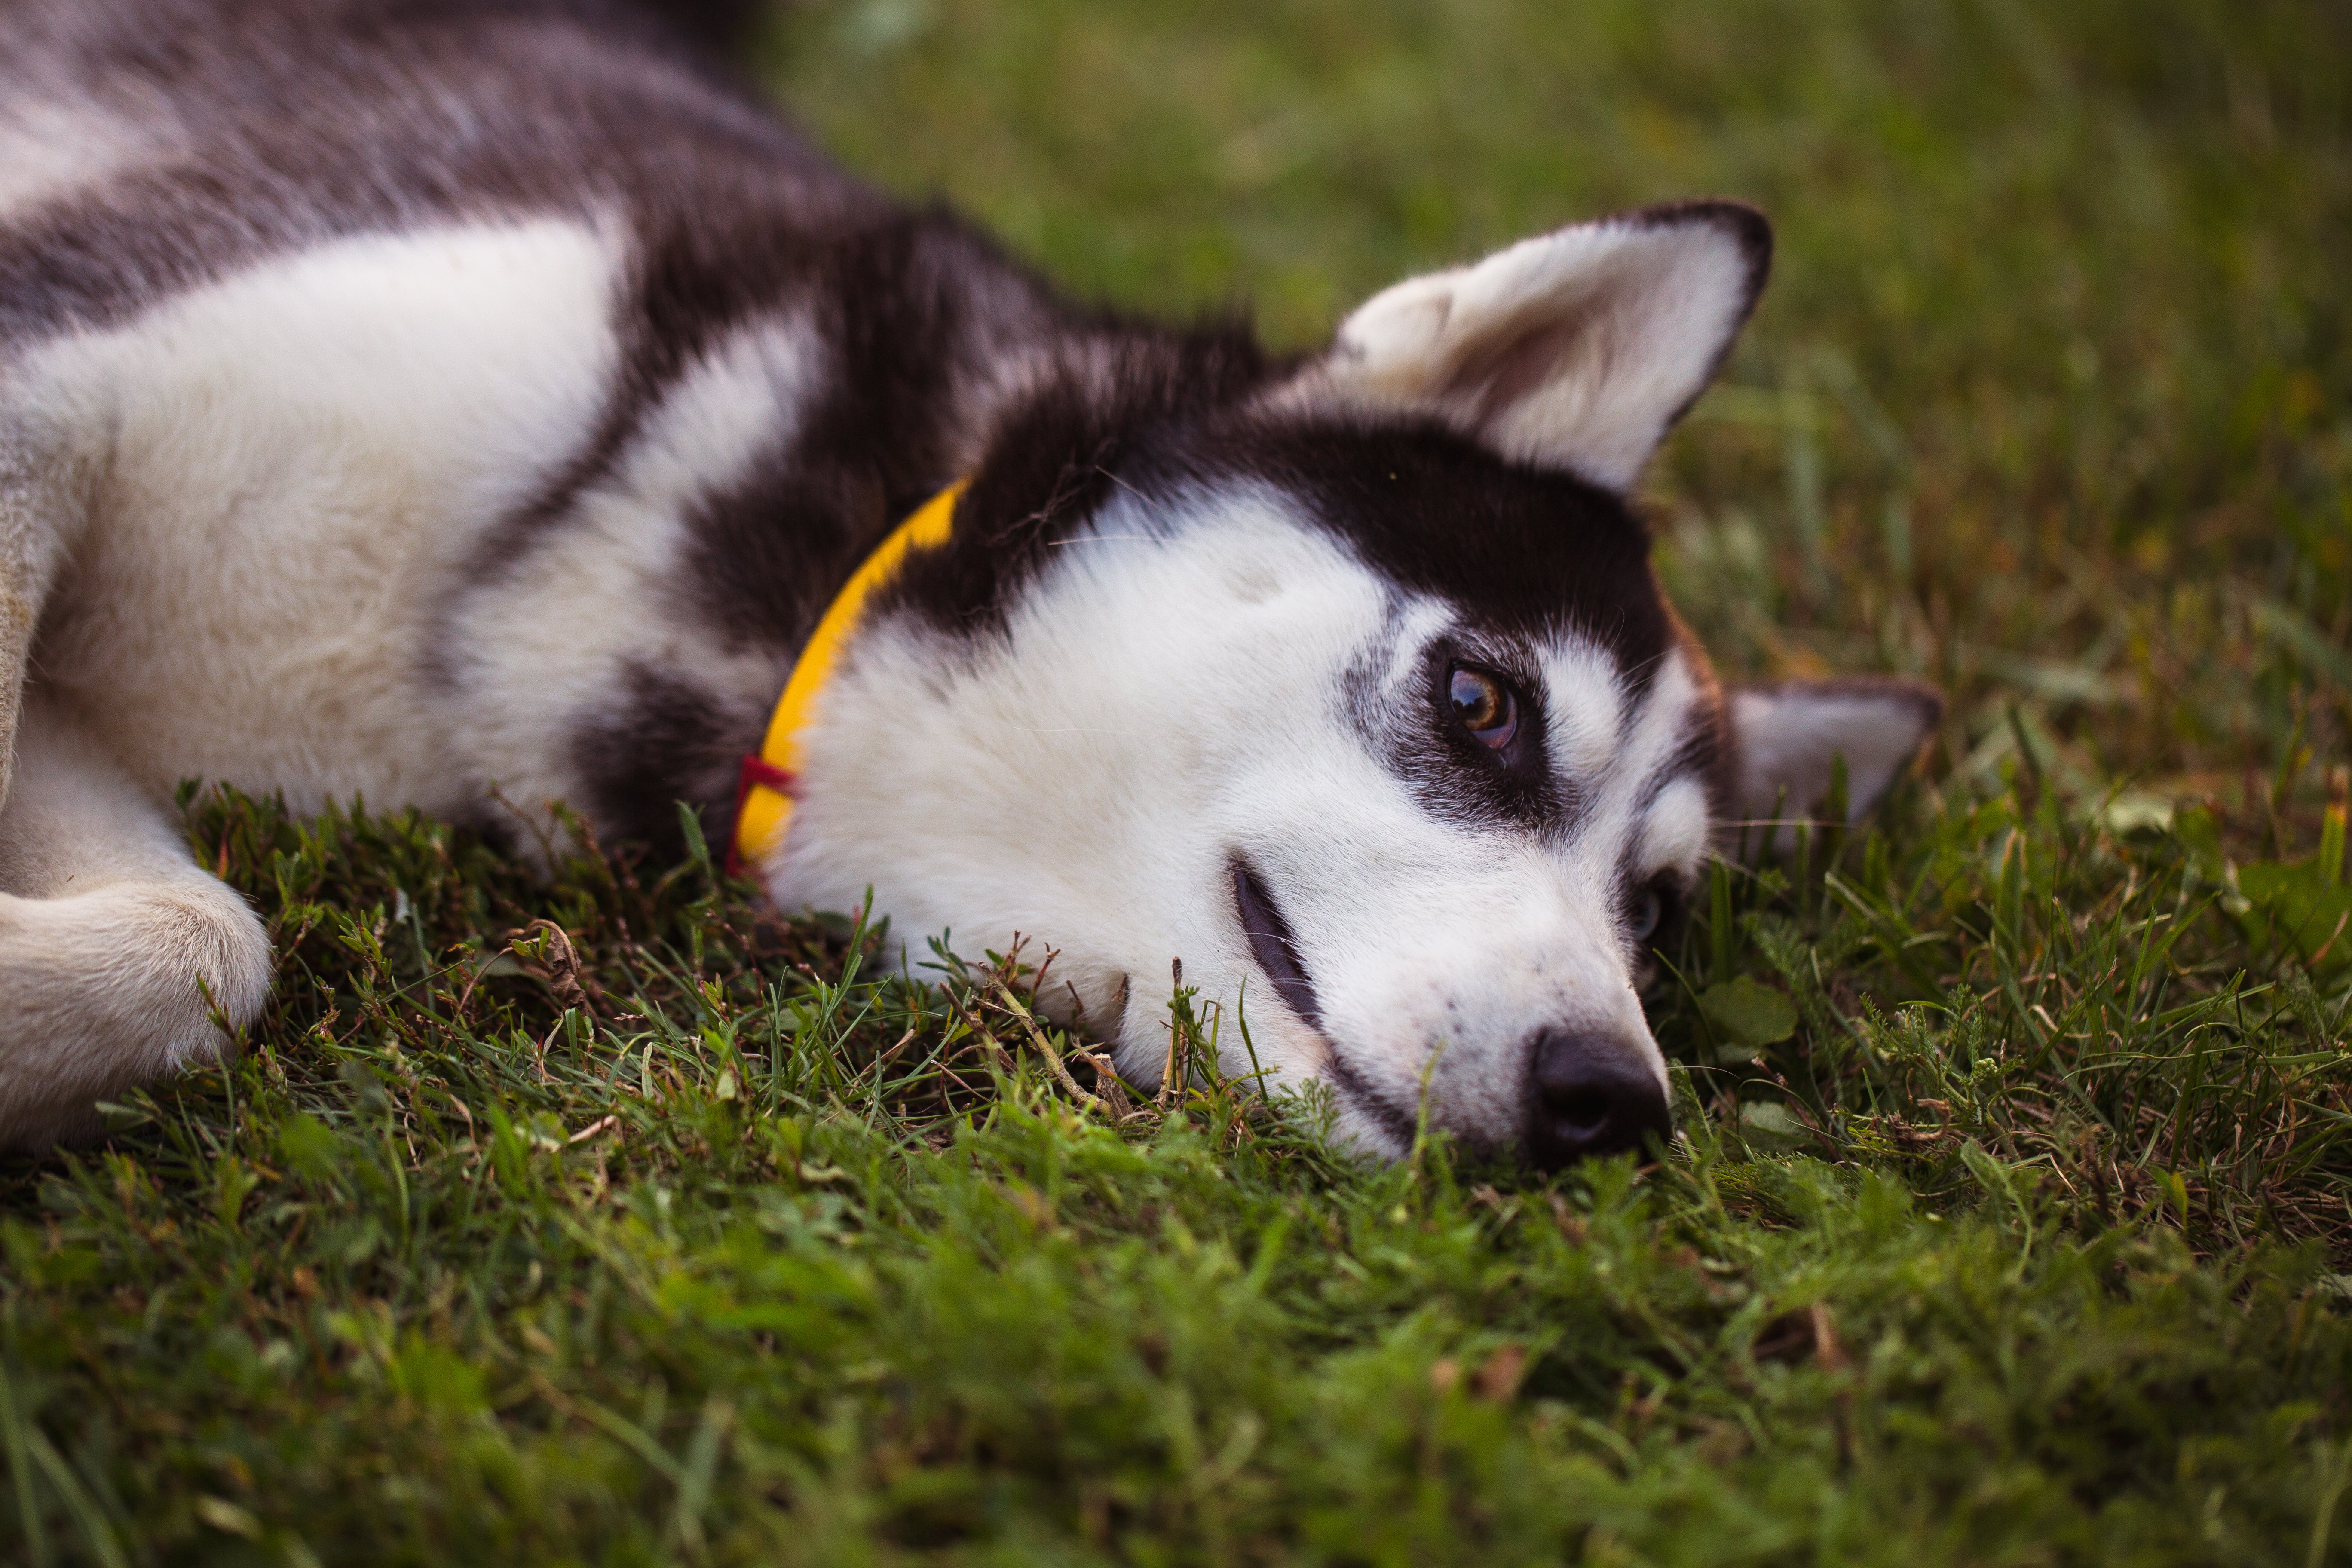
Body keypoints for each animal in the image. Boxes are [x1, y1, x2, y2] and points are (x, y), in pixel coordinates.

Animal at [0, 3, 1938, 1166]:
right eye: (1484, 701)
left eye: (1659, 912)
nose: (1614, 1100)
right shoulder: (60, 353)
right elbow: (208, 939)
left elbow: (209, 951)